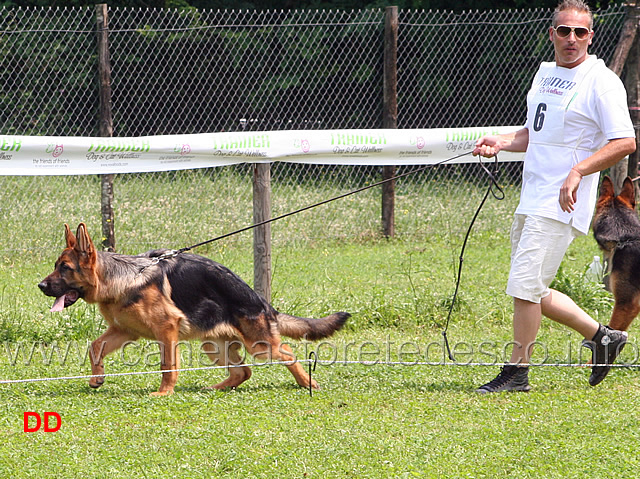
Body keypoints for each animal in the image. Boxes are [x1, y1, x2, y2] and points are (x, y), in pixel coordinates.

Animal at [38, 225, 350, 398]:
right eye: (56, 266)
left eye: (64, 268)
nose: (40, 285)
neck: (123, 276)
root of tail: (263, 303)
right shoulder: (123, 331)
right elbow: (95, 347)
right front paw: (97, 377)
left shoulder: (166, 331)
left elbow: (167, 365)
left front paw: (164, 392)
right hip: (213, 346)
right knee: (244, 371)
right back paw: (216, 388)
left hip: (260, 345)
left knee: (289, 354)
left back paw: (307, 383)